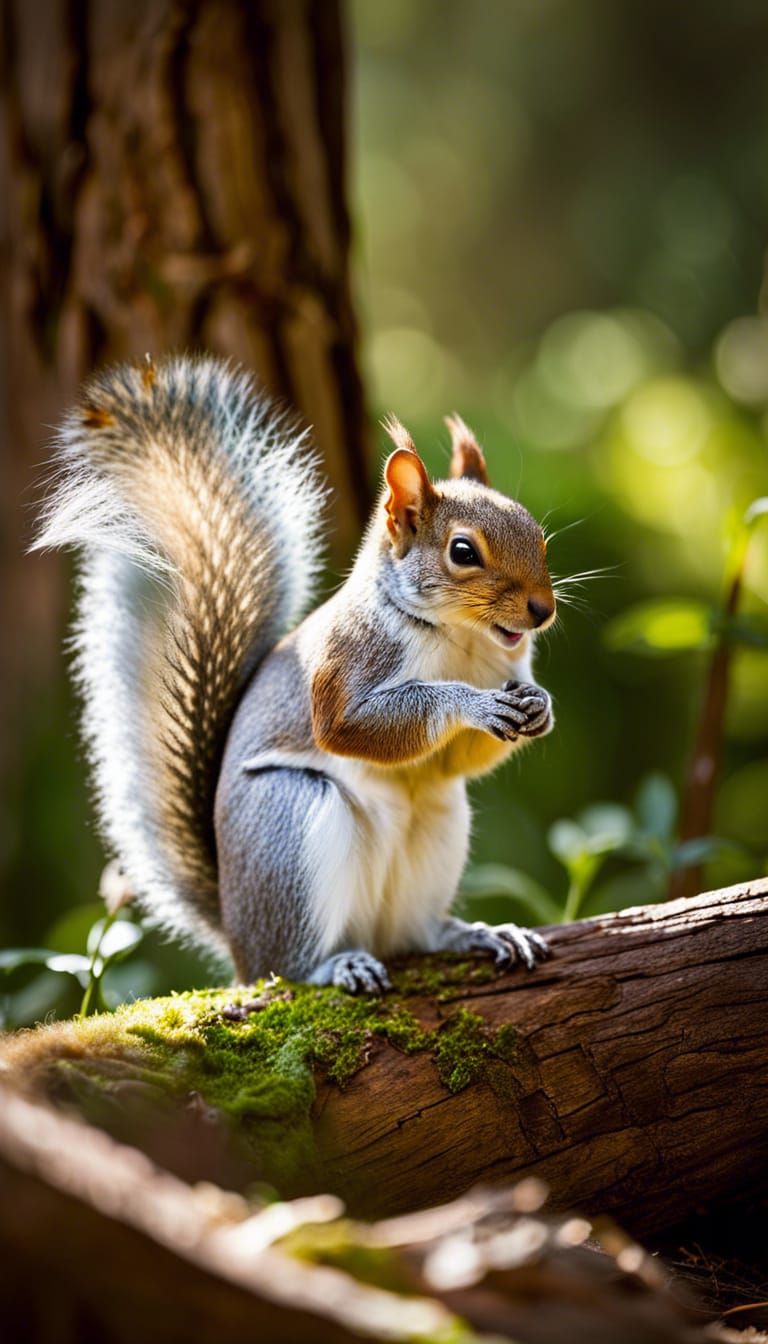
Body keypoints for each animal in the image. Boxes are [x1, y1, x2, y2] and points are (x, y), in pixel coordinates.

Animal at [34, 355, 556, 994]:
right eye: (463, 552)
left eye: (537, 536)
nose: (543, 611)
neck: (460, 638)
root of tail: (238, 940)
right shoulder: (345, 662)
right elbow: (350, 726)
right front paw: (472, 704)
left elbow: (459, 759)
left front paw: (539, 705)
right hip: (289, 825)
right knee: (289, 962)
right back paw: (335, 963)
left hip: (439, 829)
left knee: (417, 933)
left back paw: (474, 933)